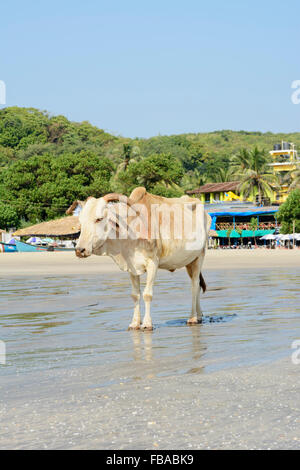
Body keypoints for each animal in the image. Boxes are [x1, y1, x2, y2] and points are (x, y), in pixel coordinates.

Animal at [67, 187, 211, 330]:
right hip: (189, 262)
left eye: (99, 219)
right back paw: (199, 315)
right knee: (197, 285)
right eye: (81, 221)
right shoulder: (132, 268)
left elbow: (147, 294)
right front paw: (135, 323)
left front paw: (147, 323)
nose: (80, 250)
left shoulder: (153, 263)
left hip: (200, 256)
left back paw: (192, 317)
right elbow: (135, 295)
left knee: (194, 285)